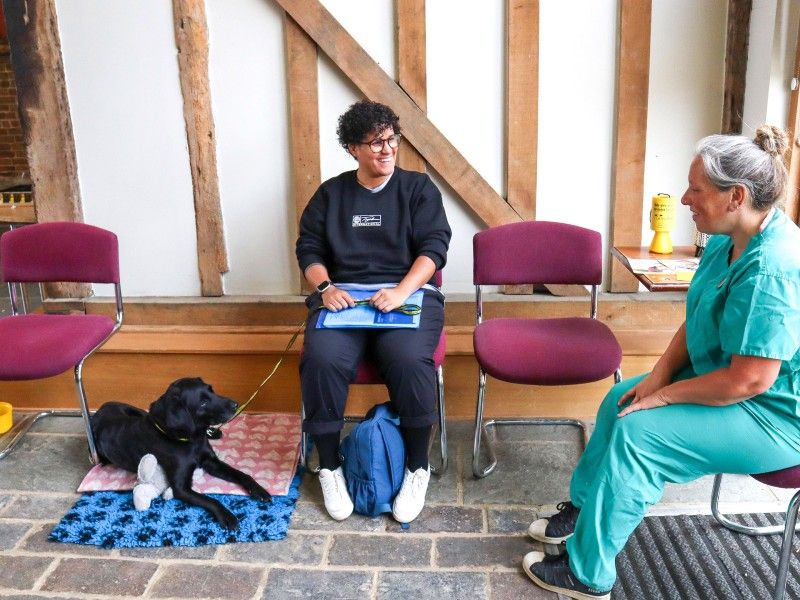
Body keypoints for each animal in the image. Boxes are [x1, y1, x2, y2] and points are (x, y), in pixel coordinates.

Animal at [92, 378, 270, 528]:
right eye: (203, 403)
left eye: (211, 390)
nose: (236, 404)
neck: (190, 440)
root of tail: (100, 409)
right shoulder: (181, 487)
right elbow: (211, 500)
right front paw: (227, 516)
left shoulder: (212, 462)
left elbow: (243, 475)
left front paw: (259, 489)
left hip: (141, 411)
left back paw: (214, 432)